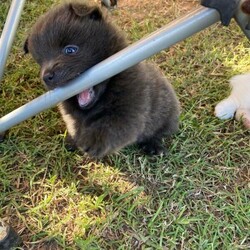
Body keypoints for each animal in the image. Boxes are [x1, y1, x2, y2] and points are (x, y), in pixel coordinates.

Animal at [23, 1, 180, 157]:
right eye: (40, 62)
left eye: (70, 50)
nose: (46, 76)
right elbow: (75, 124)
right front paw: (73, 139)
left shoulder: (133, 104)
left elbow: (114, 123)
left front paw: (94, 140)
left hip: (167, 112)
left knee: (157, 131)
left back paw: (153, 146)